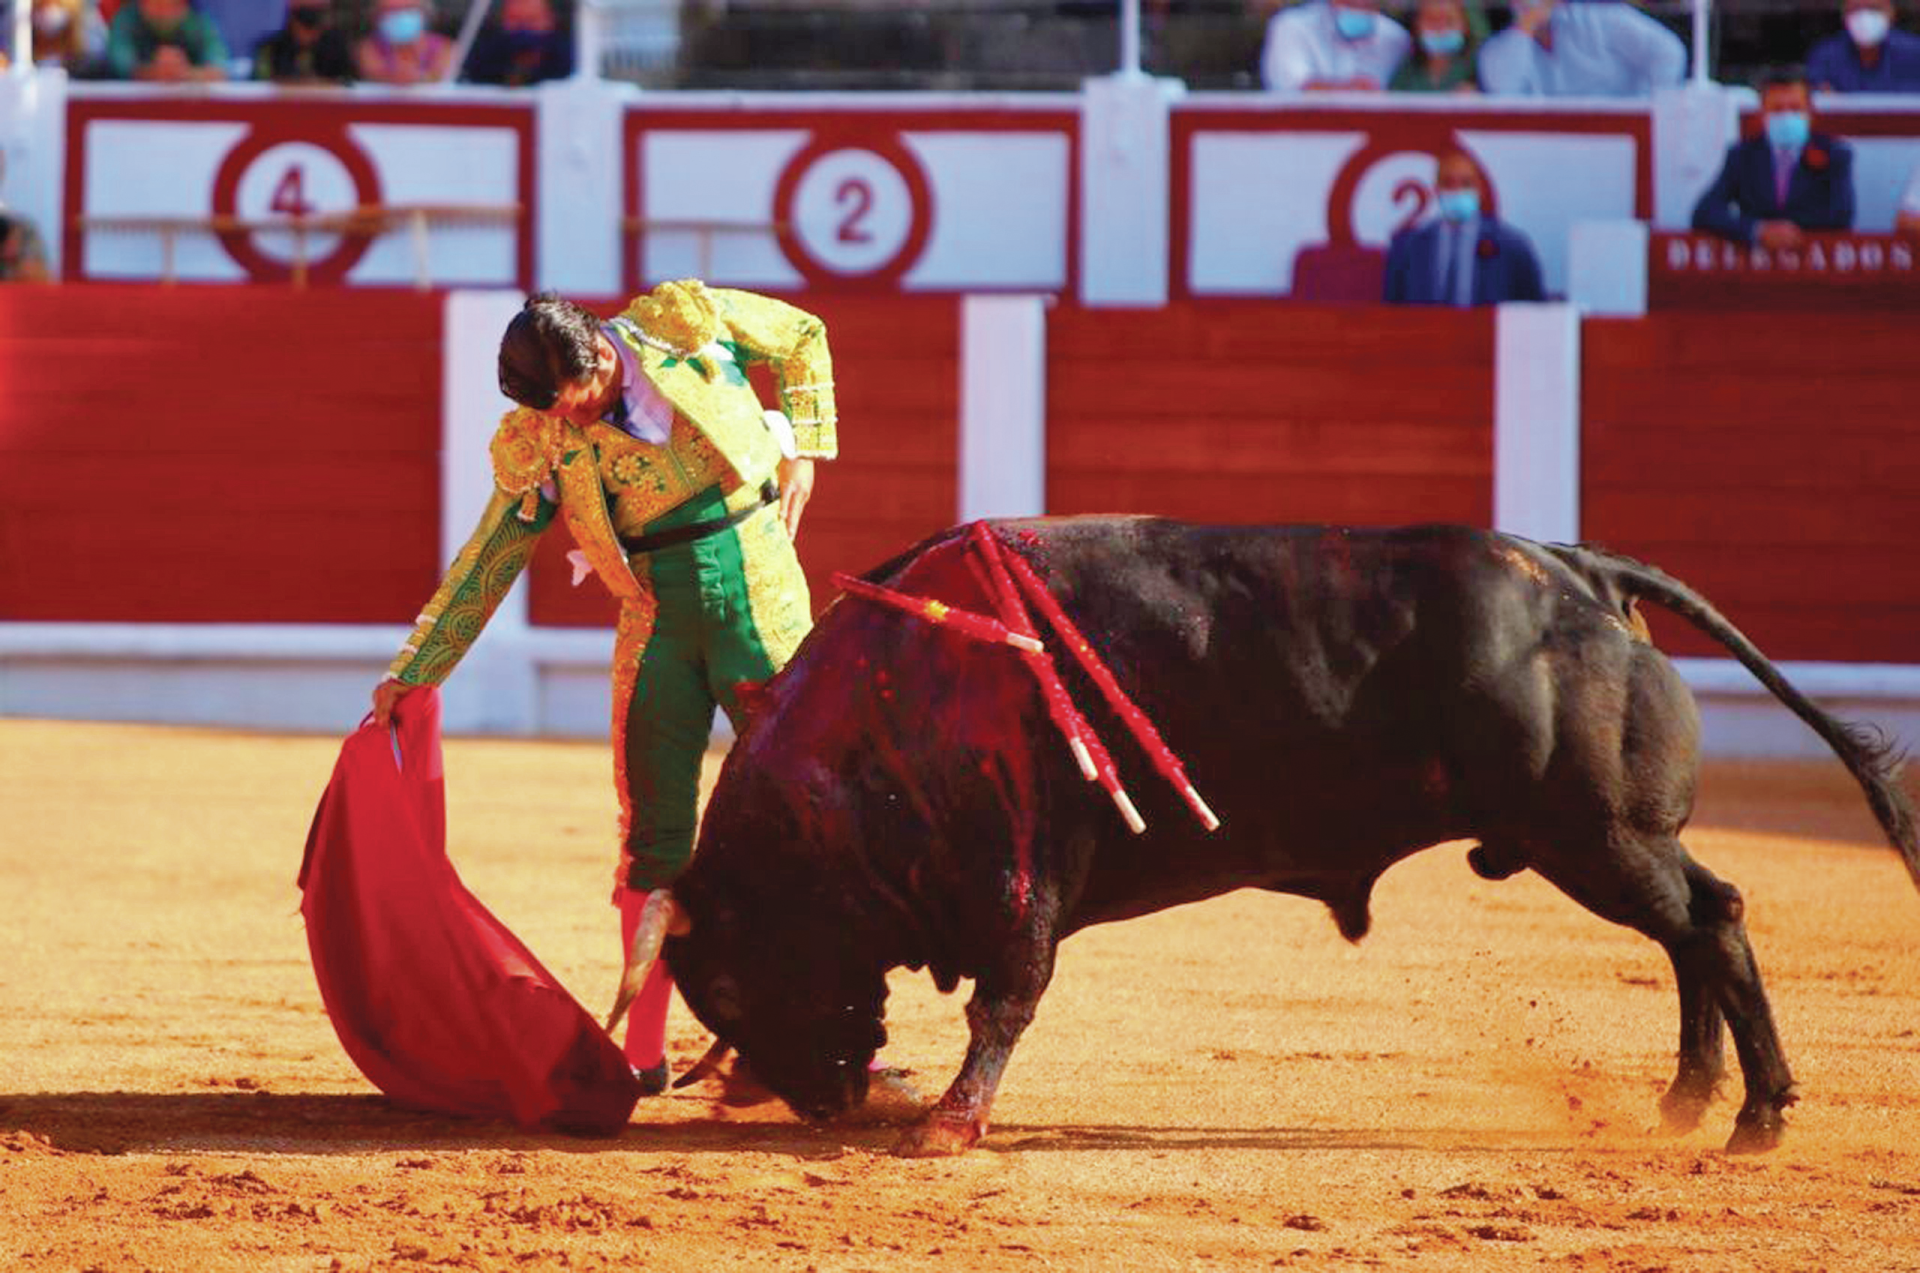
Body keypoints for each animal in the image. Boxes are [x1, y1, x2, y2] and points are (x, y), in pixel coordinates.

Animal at [637, 518, 1912, 1152]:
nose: (819, 1102)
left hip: (1592, 833)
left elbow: (1008, 996)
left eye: (735, 985)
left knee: (1710, 922)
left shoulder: (1023, 878)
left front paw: (947, 1127)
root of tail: (1580, 571)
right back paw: (1691, 1099)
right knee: (1698, 925)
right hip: (1609, 836)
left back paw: (1755, 1116)